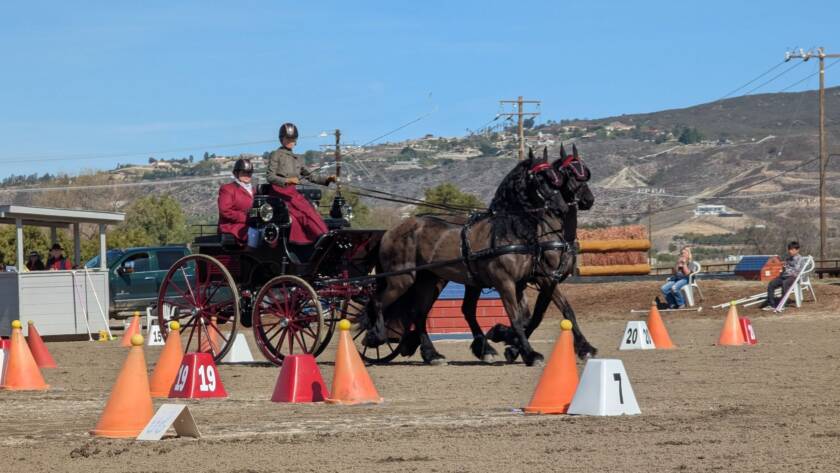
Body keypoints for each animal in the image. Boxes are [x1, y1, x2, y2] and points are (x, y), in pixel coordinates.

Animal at [366, 147, 580, 366]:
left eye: (556, 178)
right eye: (539, 178)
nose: (562, 208)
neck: (507, 230)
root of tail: (390, 231)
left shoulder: (525, 281)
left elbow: (529, 316)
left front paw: (511, 344)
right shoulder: (506, 282)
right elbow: (516, 318)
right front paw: (529, 353)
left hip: (429, 280)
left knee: (419, 314)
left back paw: (433, 354)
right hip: (401, 279)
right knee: (377, 302)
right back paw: (376, 337)